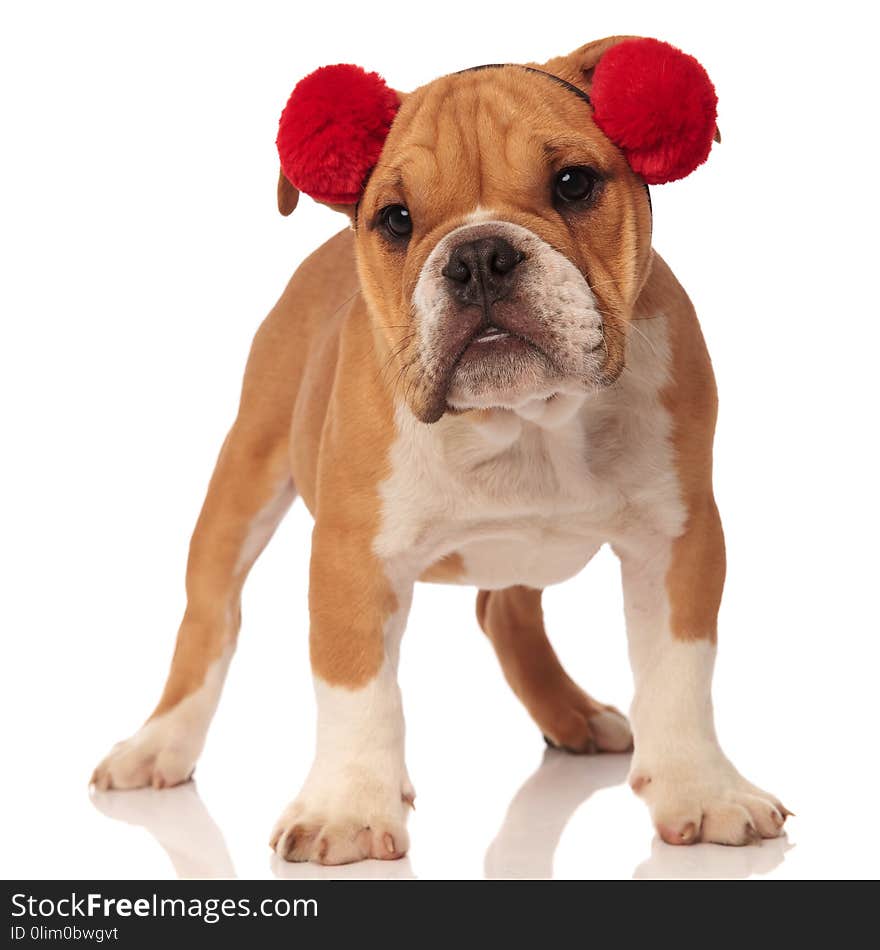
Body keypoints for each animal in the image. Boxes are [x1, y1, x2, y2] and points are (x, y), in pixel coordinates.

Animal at [91, 35, 792, 864]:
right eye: (396, 219)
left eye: (574, 183)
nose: (480, 254)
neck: (523, 421)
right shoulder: (352, 557)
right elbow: (356, 686)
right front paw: (348, 809)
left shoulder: (678, 539)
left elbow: (679, 672)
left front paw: (702, 790)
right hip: (245, 472)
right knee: (210, 617)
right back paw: (157, 744)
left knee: (505, 612)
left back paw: (572, 717)